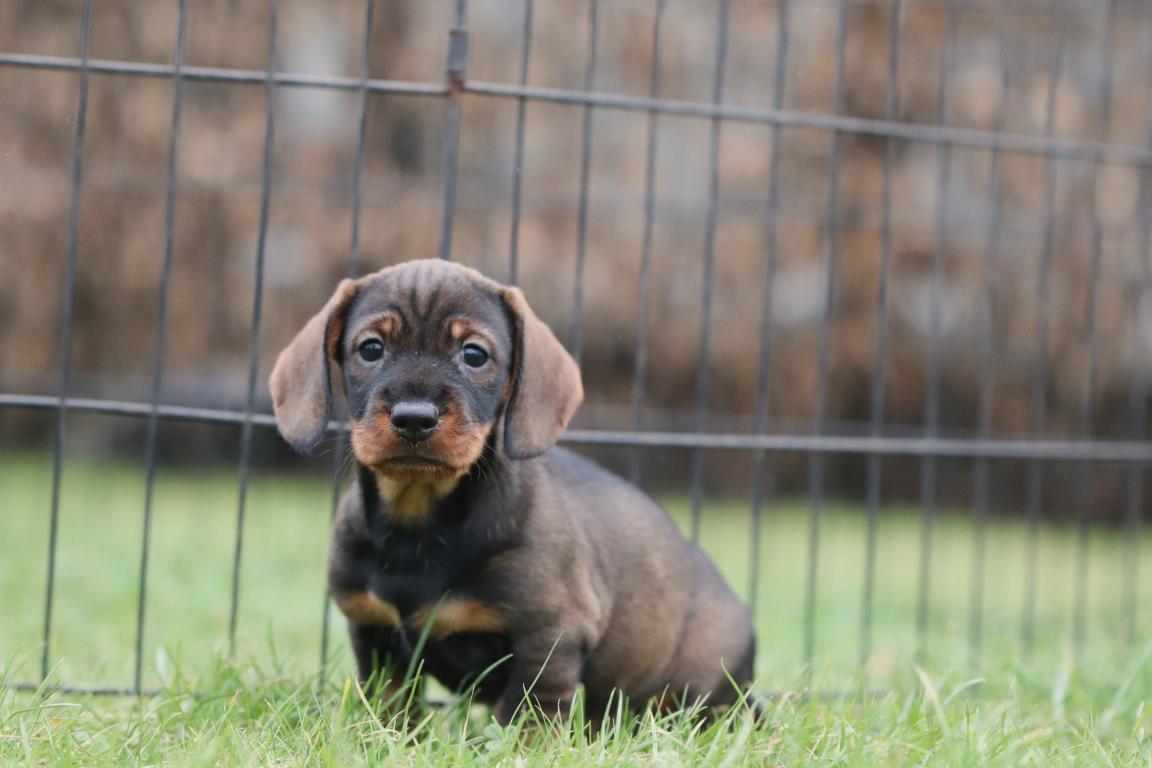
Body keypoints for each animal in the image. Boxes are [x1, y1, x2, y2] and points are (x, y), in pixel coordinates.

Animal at [269, 261, 755, 723]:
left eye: (474, 354)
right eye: (370, 348)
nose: (414, 419)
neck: (417, 520)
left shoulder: (548, 636)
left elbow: (529, 715)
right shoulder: (375, 633)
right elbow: (392, 709)